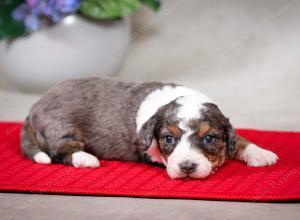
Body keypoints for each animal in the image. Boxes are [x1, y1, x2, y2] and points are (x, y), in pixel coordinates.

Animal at [21, 77, 278, 179]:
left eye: (209, 139)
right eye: (168, 139)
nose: (187, 168)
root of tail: (36, 105)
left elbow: (240, 140)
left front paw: (261, 154)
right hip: (62, 126)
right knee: (60, 151)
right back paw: (86, 159)